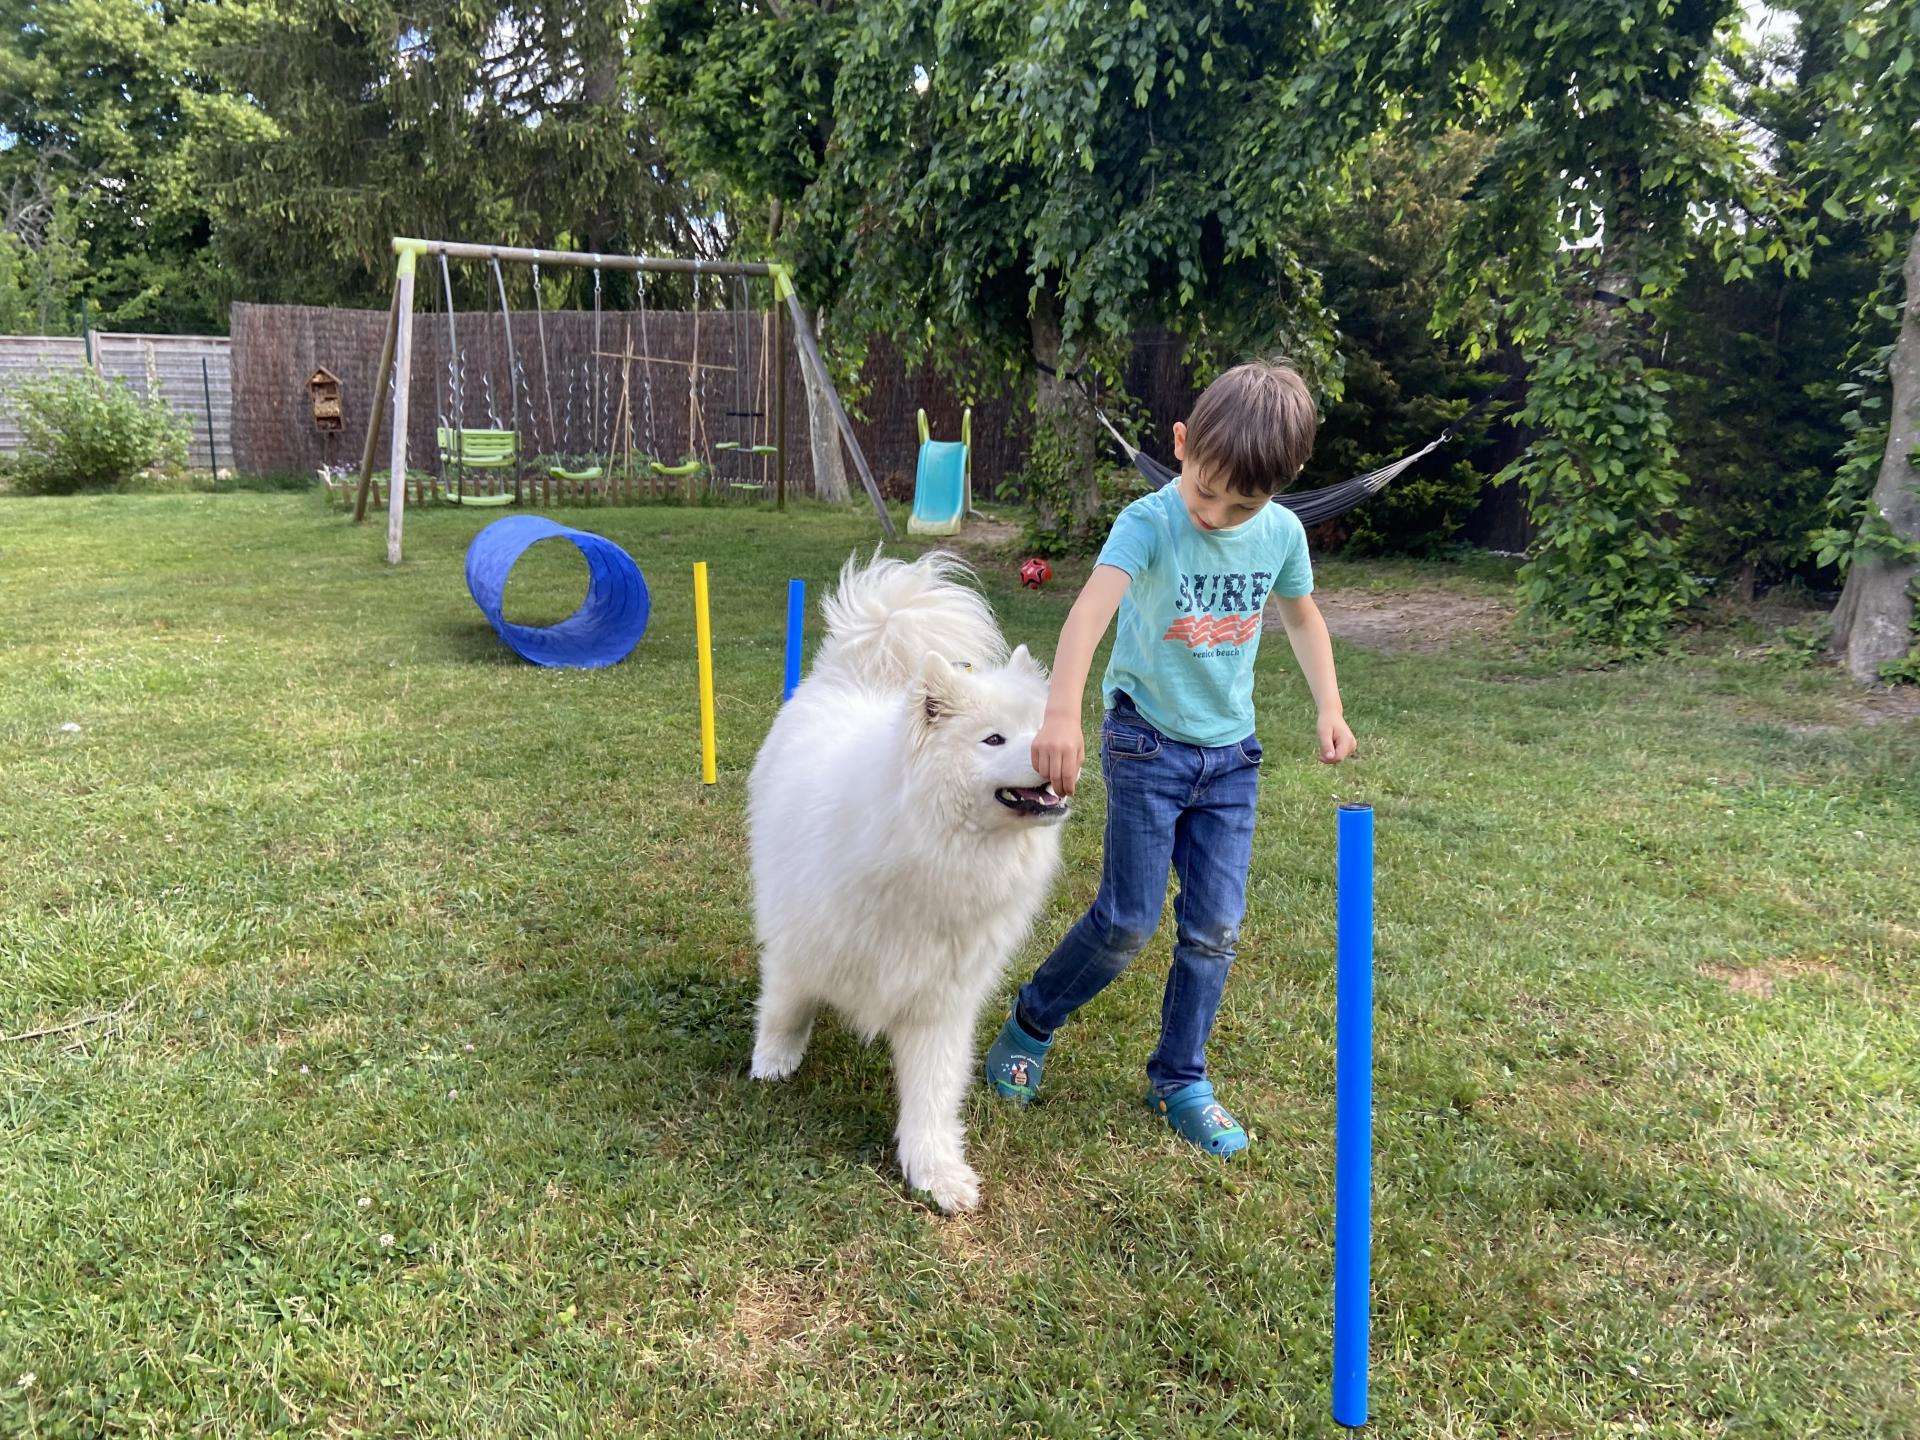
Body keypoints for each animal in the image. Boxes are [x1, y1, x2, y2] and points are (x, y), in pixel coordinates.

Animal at [744, 556, 1075, 1221]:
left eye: (1040, 728)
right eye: (994, 739)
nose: (1055, 756)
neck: (929, 855)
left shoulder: (941, 1000)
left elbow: (933, 1092)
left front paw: (936, 1172)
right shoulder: (802, 940)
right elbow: (787, 1005)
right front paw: (773, 1061)